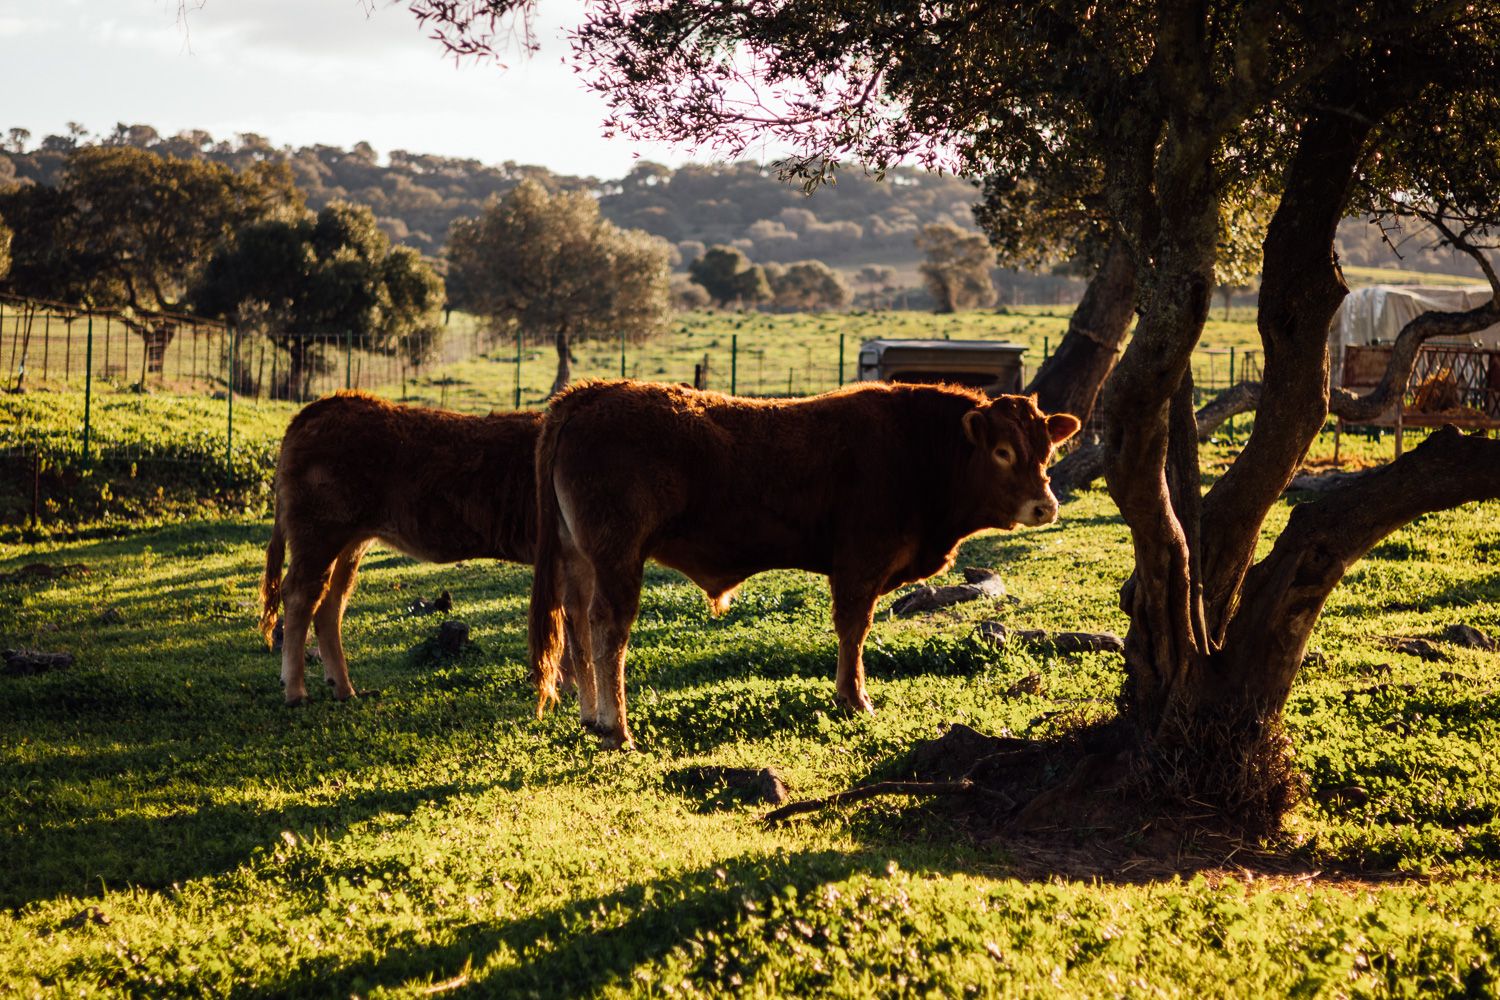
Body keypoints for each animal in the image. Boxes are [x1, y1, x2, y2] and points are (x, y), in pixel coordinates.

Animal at [260, 391, 566, 705]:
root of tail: (327, 403)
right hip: (318, 535)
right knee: (300, 595)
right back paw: (296, 690)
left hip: (350, 542)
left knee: (330, 601)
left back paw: (343, 688)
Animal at [528, 379, 1080, 750]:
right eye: (1003, 451)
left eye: (1047, 449)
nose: (1045, 506)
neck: (919, 450)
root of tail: (591, 393)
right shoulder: (860, 562)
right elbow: (853, 628)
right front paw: (855, 699)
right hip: (618, 555)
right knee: (607, 628)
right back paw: (617, 728)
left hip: (580, 557)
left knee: (576, 624)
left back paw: (591, 717)